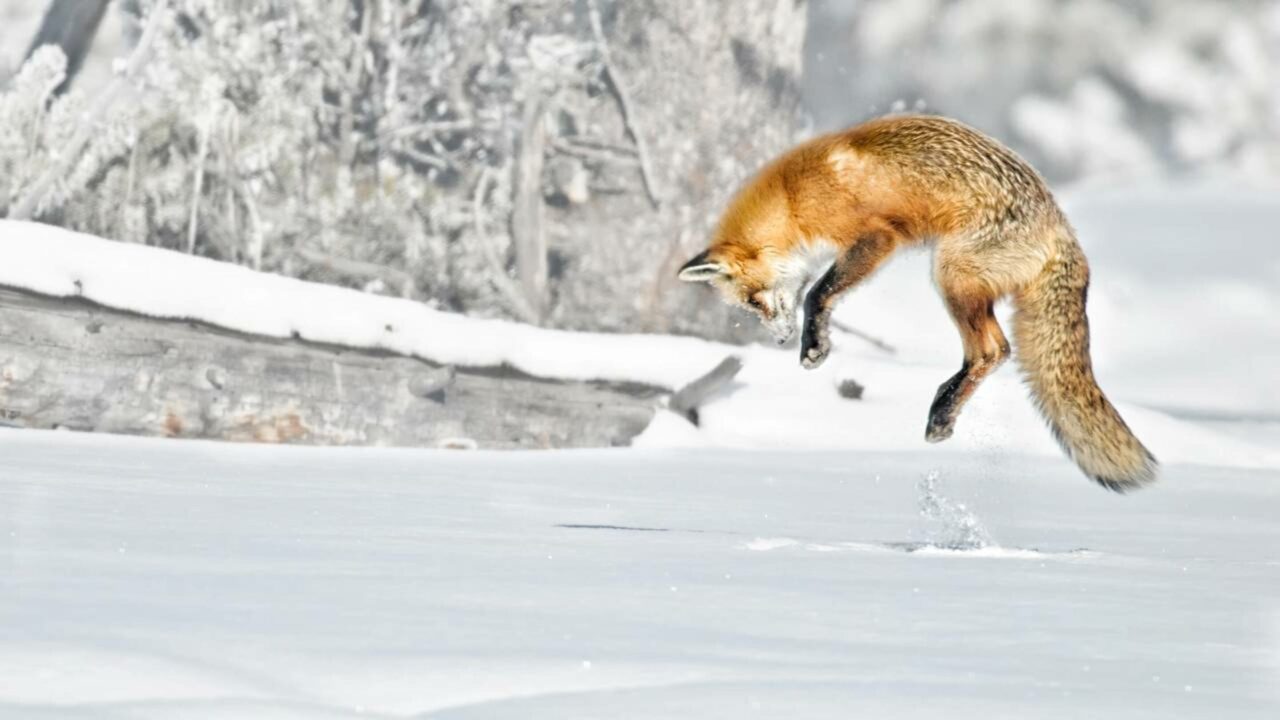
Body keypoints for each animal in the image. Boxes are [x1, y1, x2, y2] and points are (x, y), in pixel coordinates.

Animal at [678, 114, 1157, 492]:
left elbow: (818, 292)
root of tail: (1062, 230)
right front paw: (817, 343)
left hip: (951, 273)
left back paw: (942, 412)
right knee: (994, 351)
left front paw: (814, 347)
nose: (779, 340)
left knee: (993, 350)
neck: (793, 198)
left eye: (755, 300)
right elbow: (821, 293)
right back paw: (943, 408)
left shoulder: (876, 237)